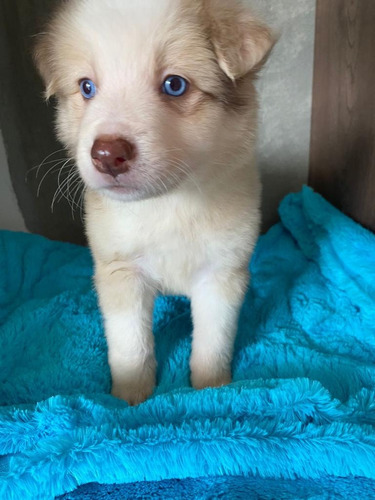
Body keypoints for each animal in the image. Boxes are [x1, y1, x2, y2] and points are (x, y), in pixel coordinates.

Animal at [35, 0, 274, 406]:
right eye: (87, 87)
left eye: (174, 85)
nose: (107, 154)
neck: (168, 202)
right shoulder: (120, 271)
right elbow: (130, 344)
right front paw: (130, 397)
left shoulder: (222, 274)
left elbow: (213, 342)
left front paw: (211, 390)